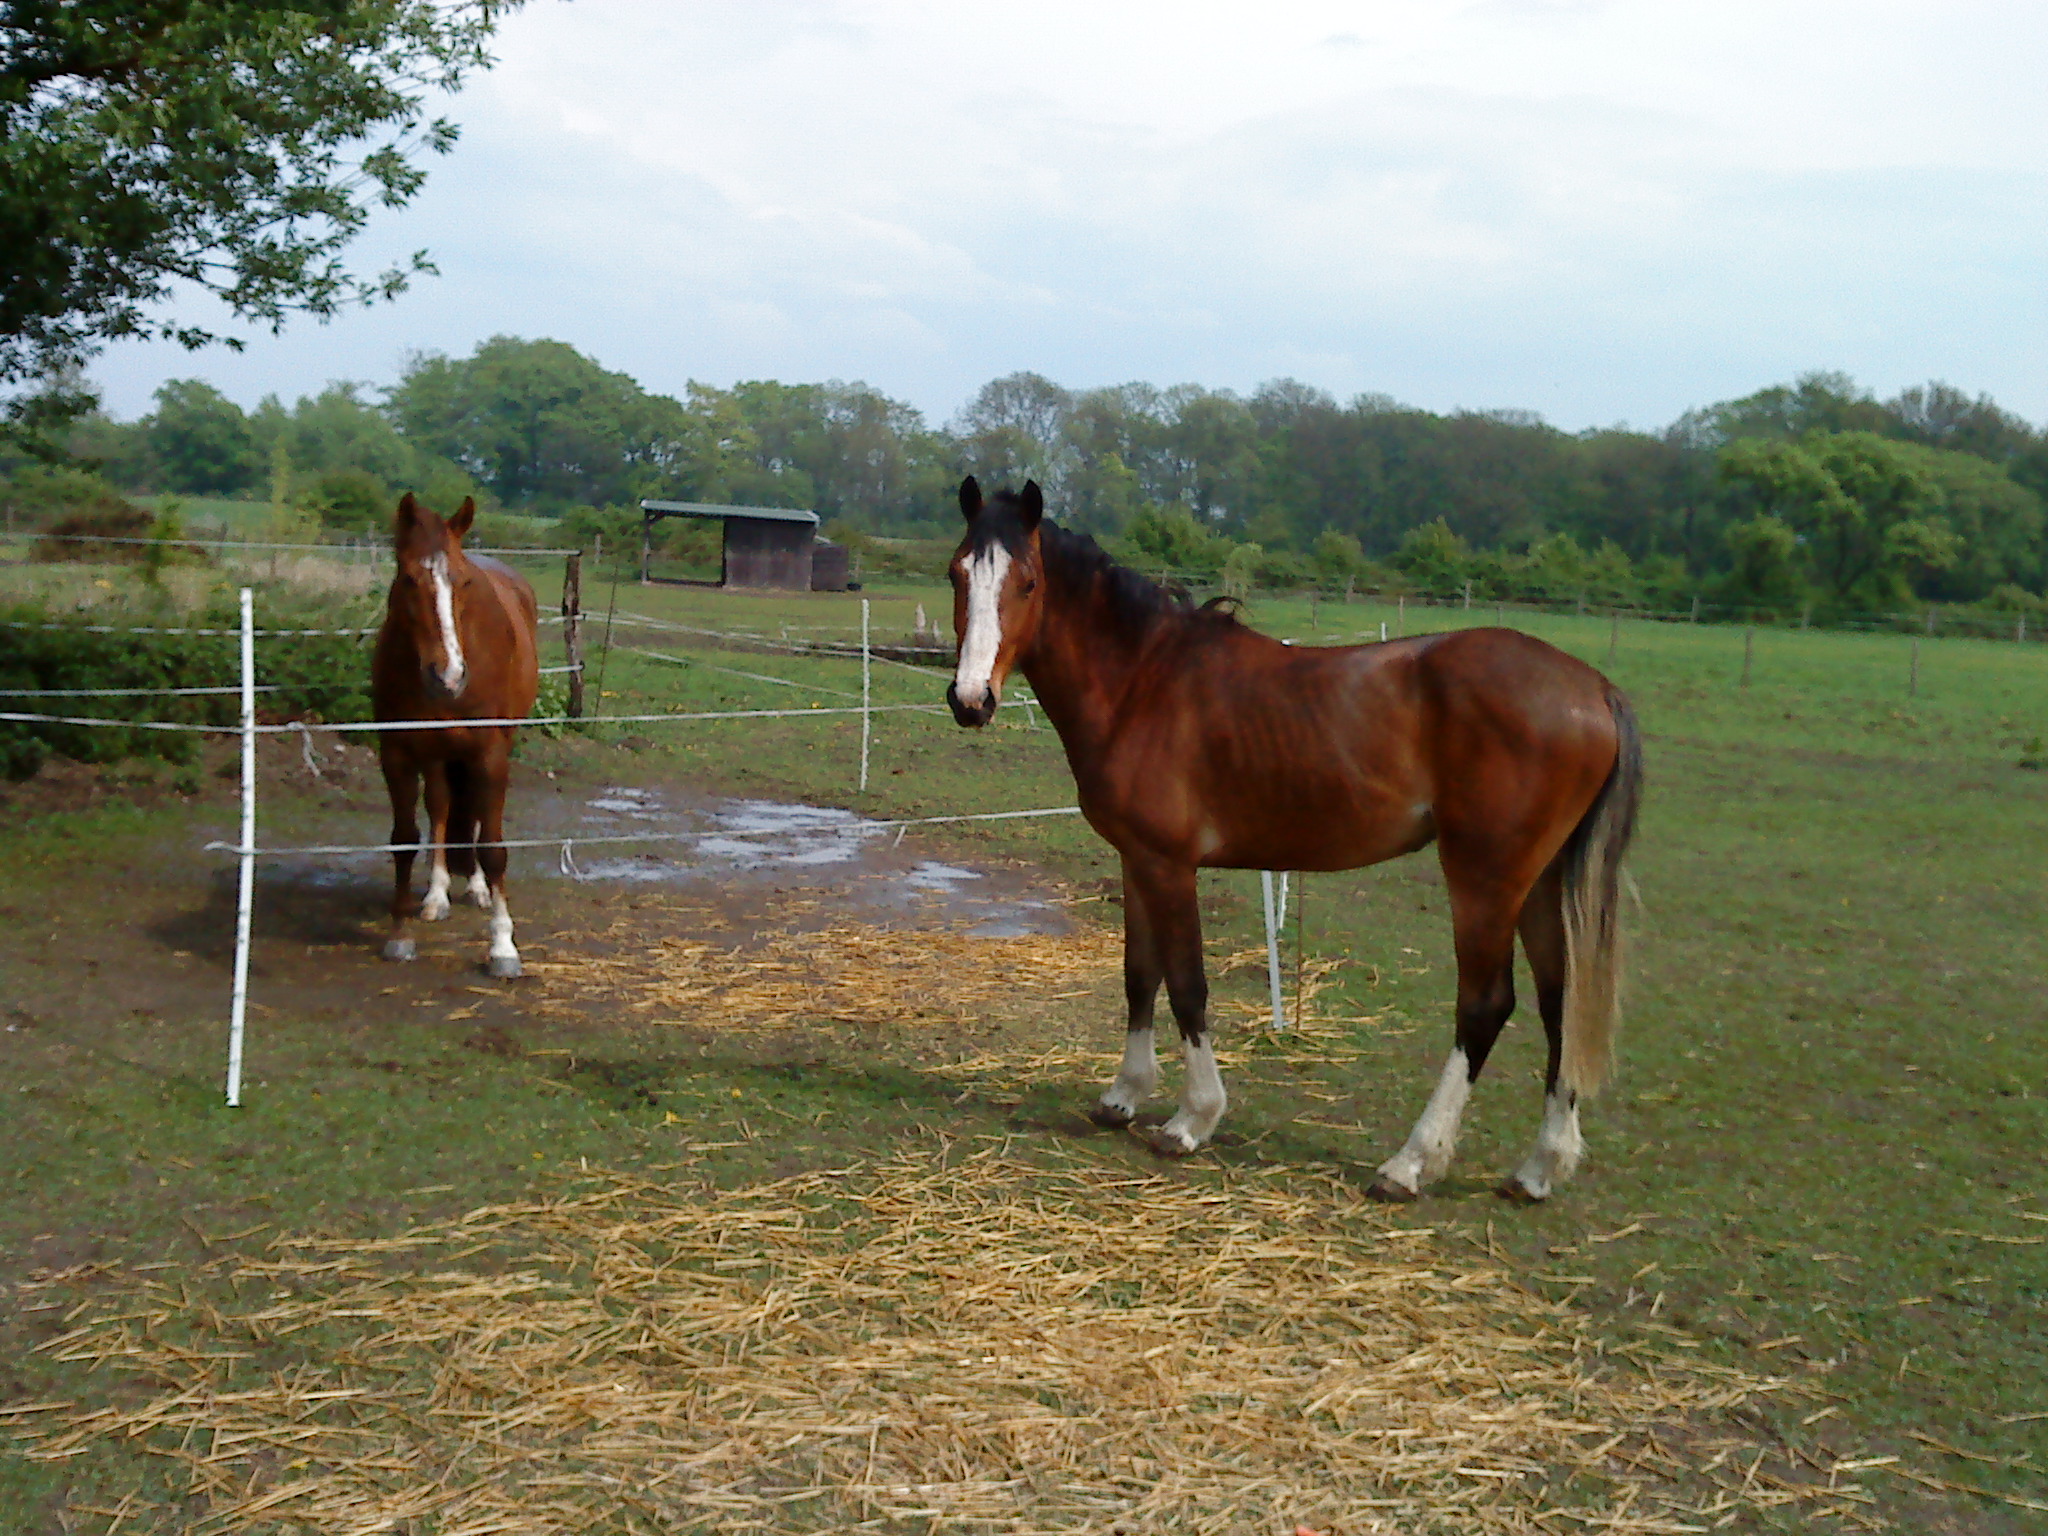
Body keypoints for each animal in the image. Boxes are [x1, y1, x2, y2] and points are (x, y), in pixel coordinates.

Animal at [372, 495, 540, 974]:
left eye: (463, 581)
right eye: (409, 578)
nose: (448, 675)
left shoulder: (490, 755)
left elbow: (493, 847)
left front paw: (503, 948)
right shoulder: (397, 755)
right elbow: (405, 839)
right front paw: (400, 935)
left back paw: (477, 889)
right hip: (437, 755)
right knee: (442, 808)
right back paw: (436, 896)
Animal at [946, 481, 1646, 1204]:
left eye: (1028, 582)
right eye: (958, 573)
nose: (971, 700)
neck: (1142, 680)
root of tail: (1594, 689)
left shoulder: (1170, 866)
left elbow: (1187, 984)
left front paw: (1192, 1120)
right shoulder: (1136, 861)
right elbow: (1140, 976)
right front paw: (1122, 1097)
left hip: (1486, 879)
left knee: (1485, 1005)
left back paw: (1410, 1163)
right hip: (1538, 883)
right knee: (1560, 1001)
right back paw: (1539, 1168)